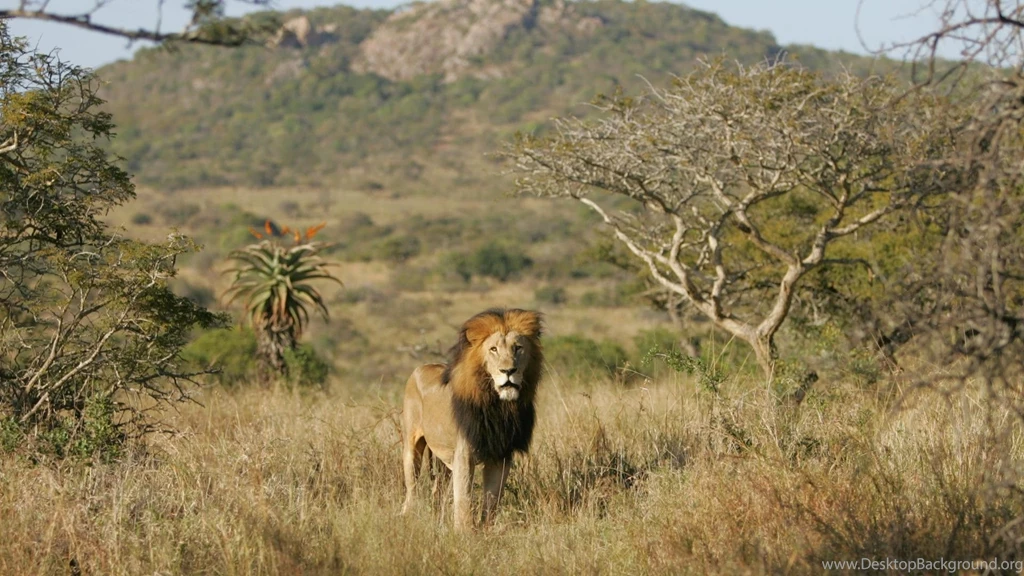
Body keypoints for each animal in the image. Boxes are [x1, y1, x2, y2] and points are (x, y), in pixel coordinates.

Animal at [400, 308, 543, 530]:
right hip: (411, 446)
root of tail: (421, 367)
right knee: (412, 490)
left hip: (443, 460)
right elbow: (464, 500)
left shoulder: (501, 455)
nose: (508, 371)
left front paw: (486, 530)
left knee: (438, 492)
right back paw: (409, 518)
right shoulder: (464, 454)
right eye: (493, 349)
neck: (499, 407)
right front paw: (464, 532)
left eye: (518, 348)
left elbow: (492, 500)